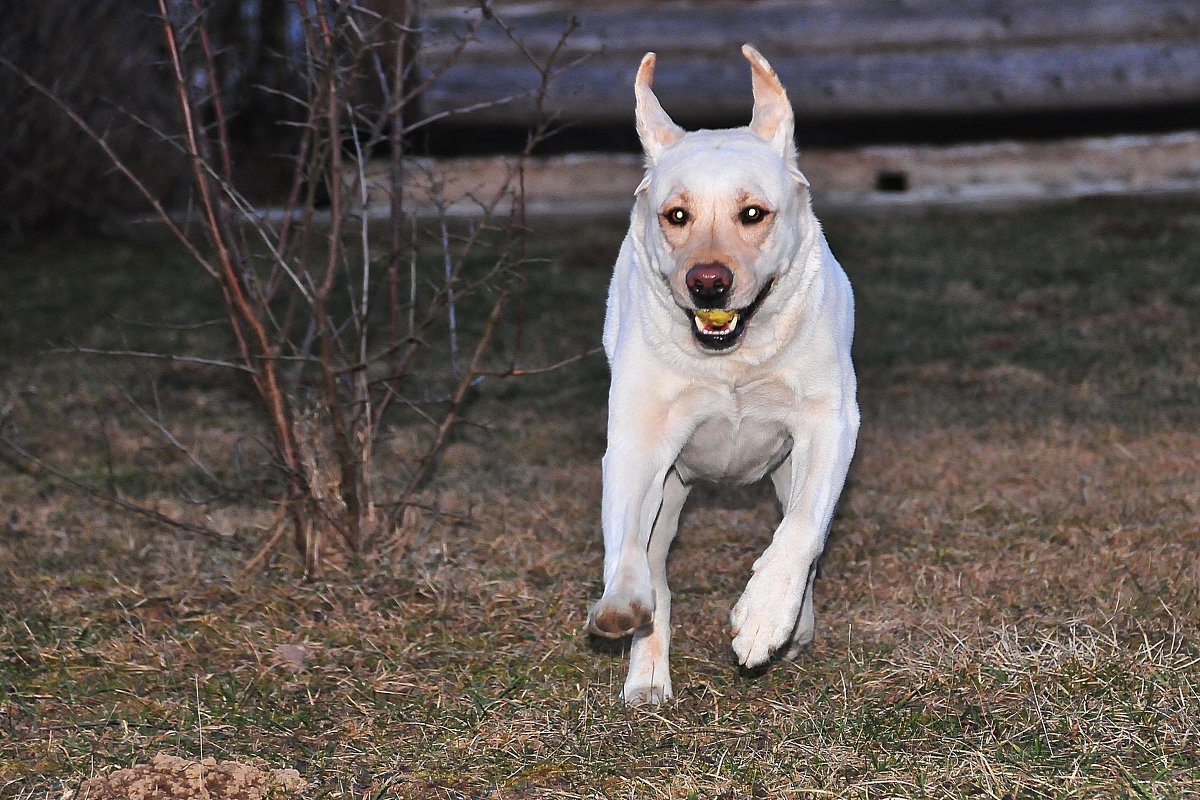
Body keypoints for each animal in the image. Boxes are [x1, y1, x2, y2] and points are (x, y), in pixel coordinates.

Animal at [588, 47, 854, 705]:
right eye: (676, 215)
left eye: (752, 213)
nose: (707, 282)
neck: (734, 357)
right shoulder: (638, 442)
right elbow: (627, 541)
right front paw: (623, 603)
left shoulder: (830, 423)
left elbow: (802, 528)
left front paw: (764, 619)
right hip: (672, 487)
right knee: (655, 562)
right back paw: (647, 673)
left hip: (784, 468)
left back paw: (794, 621)